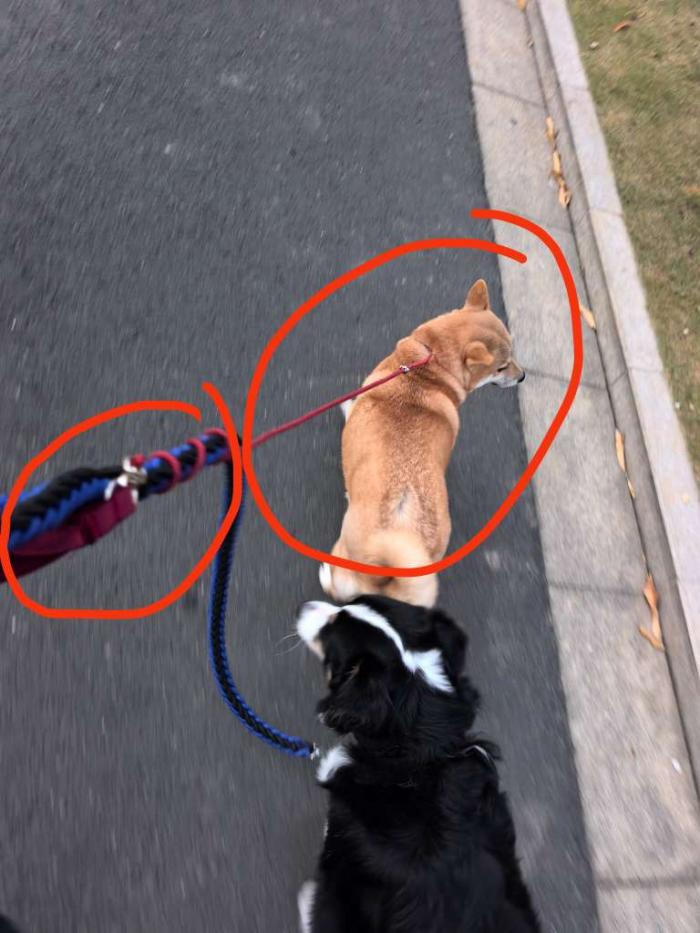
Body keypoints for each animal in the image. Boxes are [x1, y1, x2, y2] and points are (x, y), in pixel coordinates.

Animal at [320, 280, 524, 607]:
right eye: (502, 367)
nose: (523, 377)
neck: (427, 368)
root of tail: (387, 575)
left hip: (344, 553)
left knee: (337, 586)